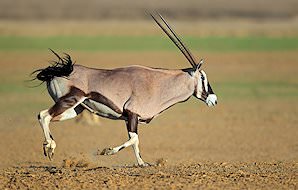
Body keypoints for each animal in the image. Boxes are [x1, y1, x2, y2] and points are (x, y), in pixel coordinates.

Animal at [32, 13, 218, 166]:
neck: (158, 83)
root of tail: (60, 71)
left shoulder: (130, 118)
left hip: (76, 109)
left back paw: (49, 146)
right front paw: (106, 151)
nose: (214, 99)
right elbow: (134, 139)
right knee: (44, 115)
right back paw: (50, 147)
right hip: (69, 100)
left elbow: (135, 141)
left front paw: (142, 163)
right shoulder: (132, 114)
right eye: (203, 78)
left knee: (47, 117)